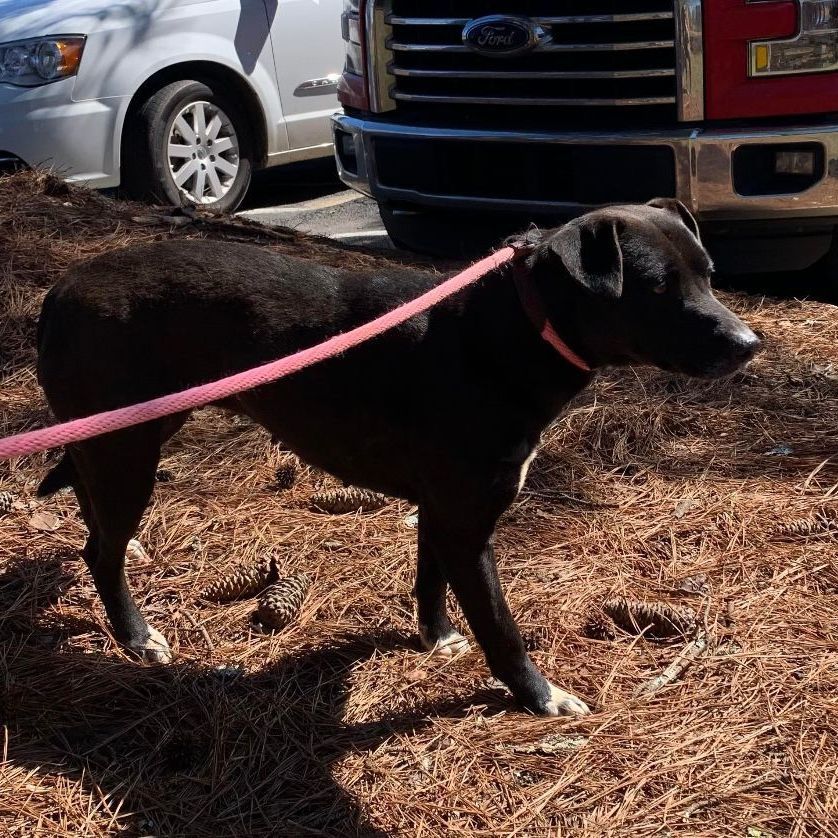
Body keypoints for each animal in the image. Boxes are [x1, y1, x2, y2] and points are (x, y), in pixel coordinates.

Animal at [37, 200, 760, 720]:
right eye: (657, 288)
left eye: (710, 273)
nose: (750, 343)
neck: (509, 332)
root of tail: (58, 288)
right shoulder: (467, 526)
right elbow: (501, 628)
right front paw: (537, 696)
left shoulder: (439, 511)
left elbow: (428, 580)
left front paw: (434, 637)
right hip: (126, 450)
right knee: (97, 549)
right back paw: (135, 634)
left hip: (125, 435)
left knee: (95, 518)